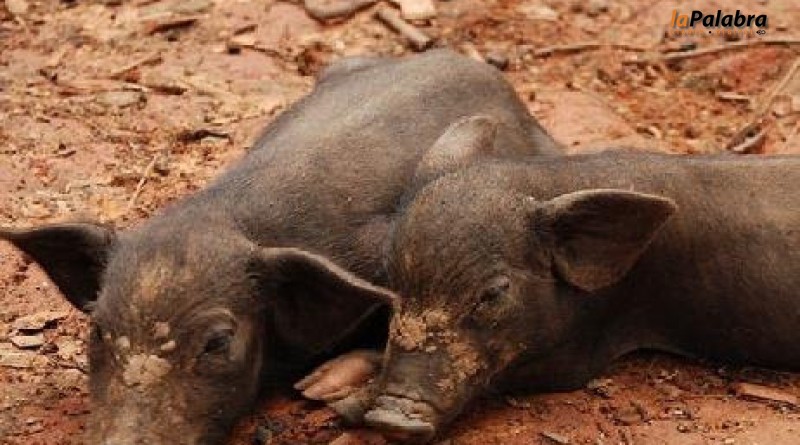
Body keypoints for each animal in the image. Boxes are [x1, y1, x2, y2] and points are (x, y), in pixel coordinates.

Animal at [297, 118, 800, 442]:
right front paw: (315, 387)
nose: (392, 417)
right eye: (391, 282)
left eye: (493, 293)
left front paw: (334, 399)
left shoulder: (580, 351)